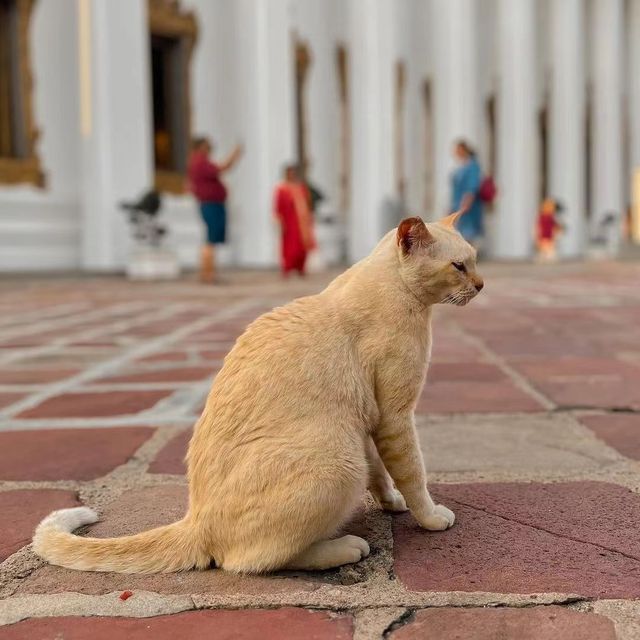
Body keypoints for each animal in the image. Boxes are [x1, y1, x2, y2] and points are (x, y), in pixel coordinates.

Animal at [33, 212, 484, 572]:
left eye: (476, 261)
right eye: (459, 266)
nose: (481, 285)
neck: (392, 289)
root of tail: (195, 520)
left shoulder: (370, 422)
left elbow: (382, 474)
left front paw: (391, 502)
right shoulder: (395, 417)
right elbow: (412, 473)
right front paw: (431, 516)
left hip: (347, 447)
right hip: (339, 460)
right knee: (248, 561)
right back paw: (345, 548)